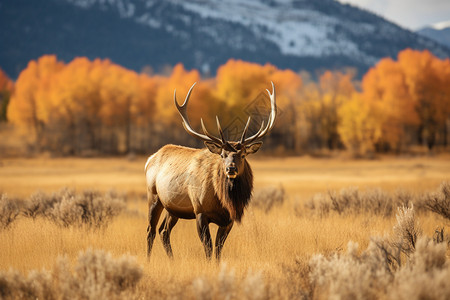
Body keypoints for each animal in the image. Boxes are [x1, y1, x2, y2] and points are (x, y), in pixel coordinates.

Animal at [146, 82, 276, 260]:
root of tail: (150, 159)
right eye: (222, 155)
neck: (223, 201)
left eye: (242, 155)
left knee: (163, 231)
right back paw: (148, 260)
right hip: (153, 196)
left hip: (172, 207)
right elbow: (208, 248)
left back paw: (172, 260)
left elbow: (218, 249)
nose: (231, 168)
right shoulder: (200, 211)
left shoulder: (229, 220)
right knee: (150, 231)